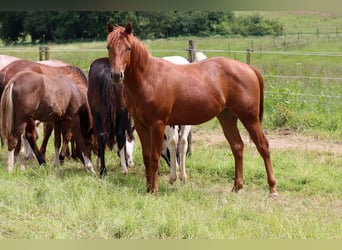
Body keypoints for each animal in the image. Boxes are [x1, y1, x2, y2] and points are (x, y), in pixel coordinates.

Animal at [106, 23, 278, 196]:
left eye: (128, 48)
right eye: (109, 47)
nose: (116, 75)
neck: (149, 78)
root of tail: (249, 68)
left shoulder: (158, 124)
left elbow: (154, 157)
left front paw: (154, 190)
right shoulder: (141, 125)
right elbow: (147, 157)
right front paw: (148, 189)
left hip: (250, 118)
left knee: (263, 146)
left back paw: (272, 188)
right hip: (227, 118)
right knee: (237, 147)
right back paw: (237, 186)